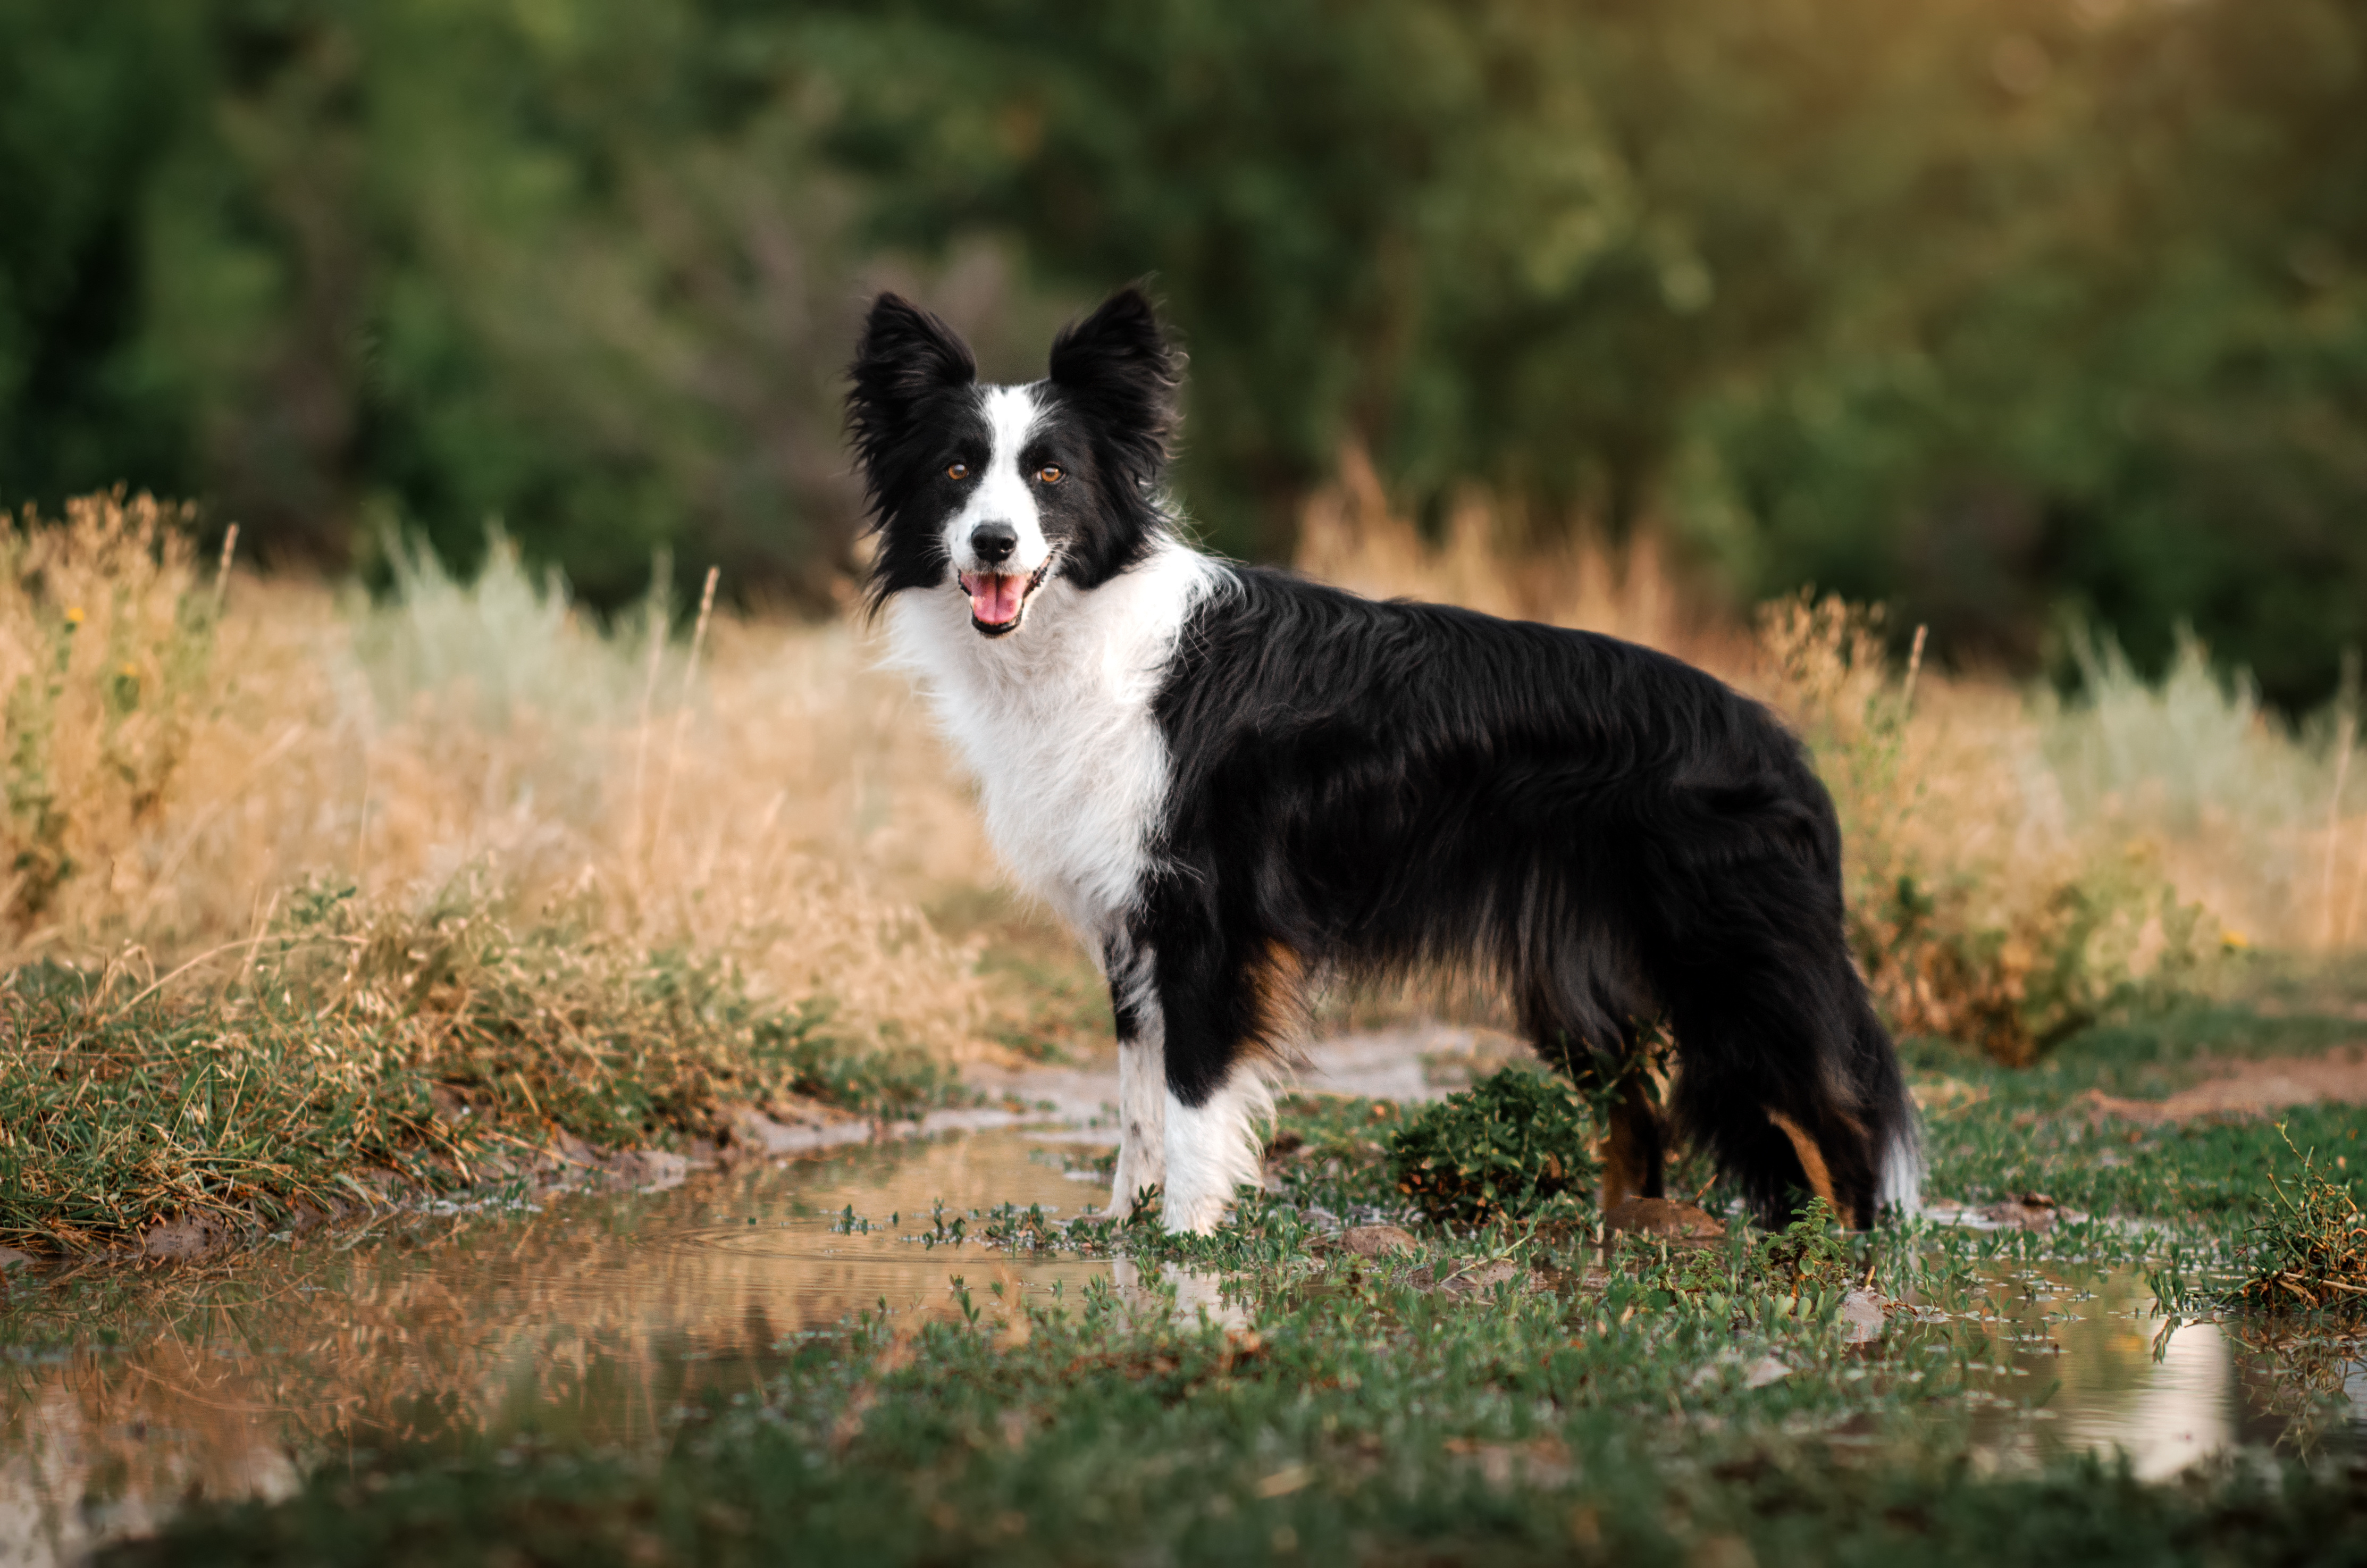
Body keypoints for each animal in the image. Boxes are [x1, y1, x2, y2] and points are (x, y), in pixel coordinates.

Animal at [852, 289, 1922, 1231]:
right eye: (955, 471)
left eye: (1051, 477)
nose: (993, 545)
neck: (1085, 628)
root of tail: (1781, 747)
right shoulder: (1133, 923)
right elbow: (1136, 1102)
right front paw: (1124, 1231)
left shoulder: (1211, 922)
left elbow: (1192, 1101)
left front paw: (1185, 1247)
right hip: (1580, 978)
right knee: (1642, 1115)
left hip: (1729, 963)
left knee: (1839, 1123)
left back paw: (1848, 1271)